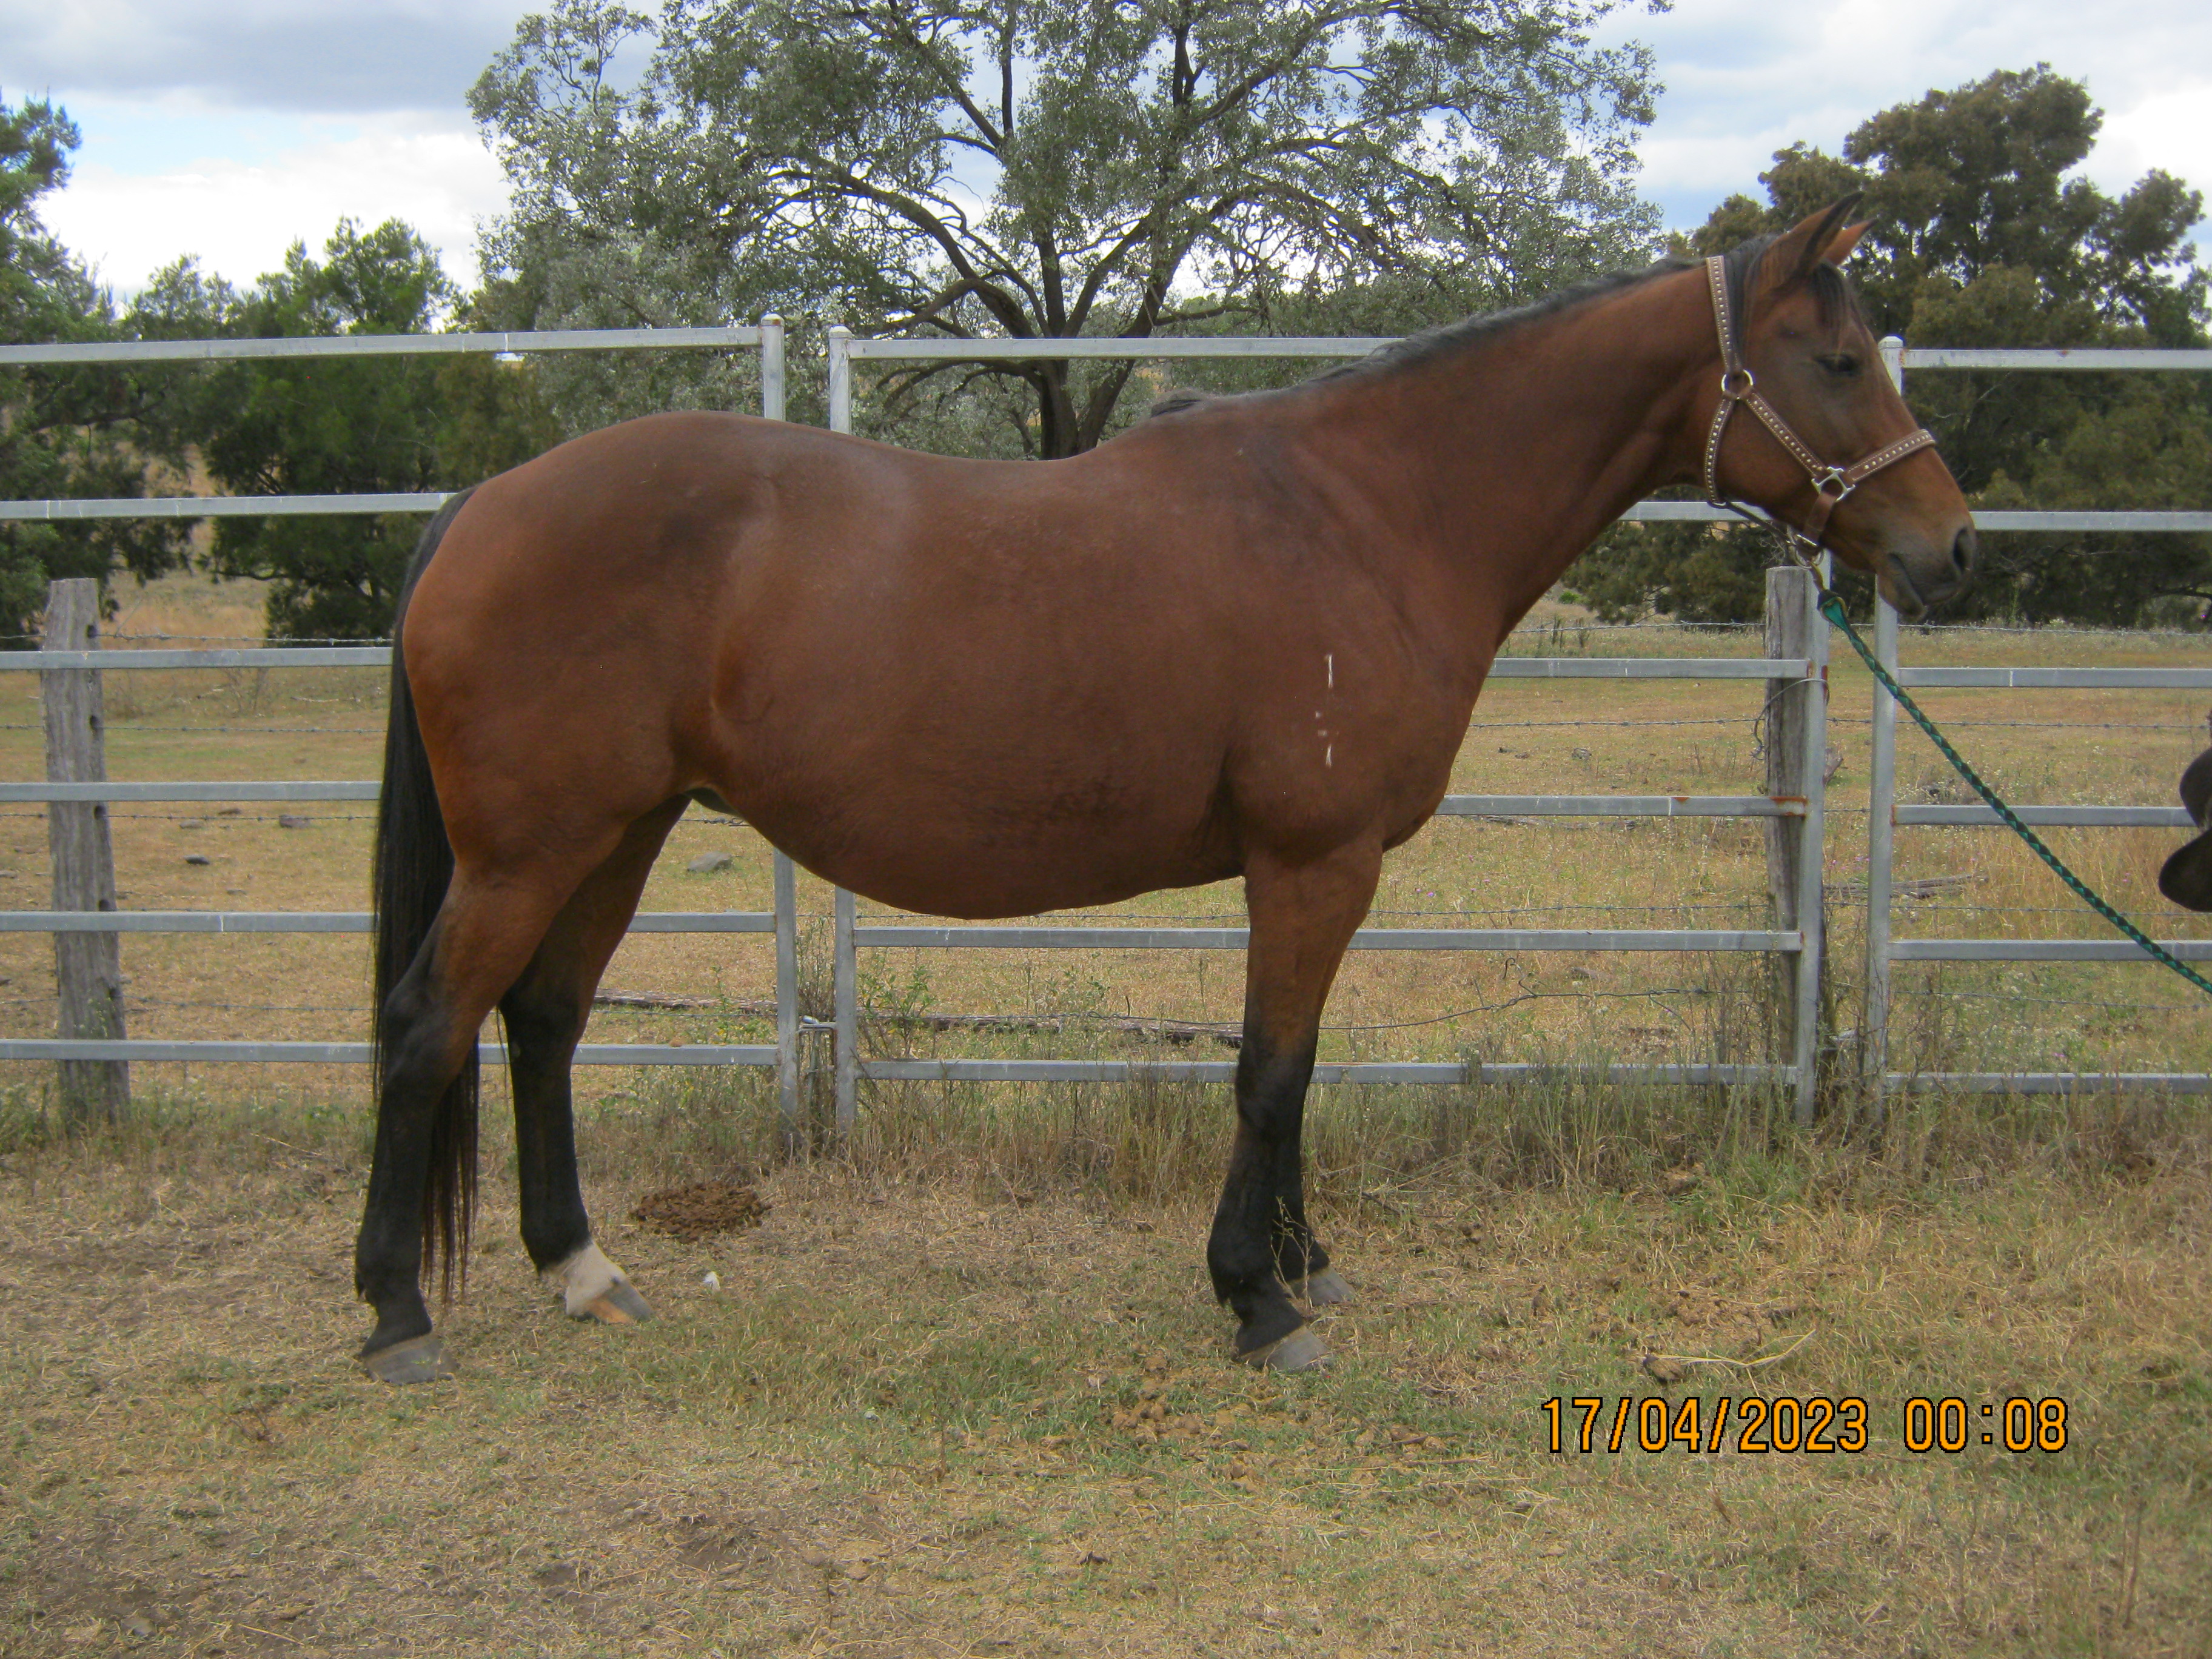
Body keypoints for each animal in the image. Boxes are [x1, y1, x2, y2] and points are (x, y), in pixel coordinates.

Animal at [355, 198, 1975, 1383]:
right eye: (1839, 362)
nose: (1951, 547)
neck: (1371, 514)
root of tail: (483, 505)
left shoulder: (1323, 870)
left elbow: (1299, 1068)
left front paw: (1305, 1259)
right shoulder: (1314, 860)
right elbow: (1268, 1073)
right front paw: (1260, 1301)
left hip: (615, 833)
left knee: (542, 1022)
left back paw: (583, 1269)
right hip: (532, 848)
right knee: (430, 1023)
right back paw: (396, 1315)